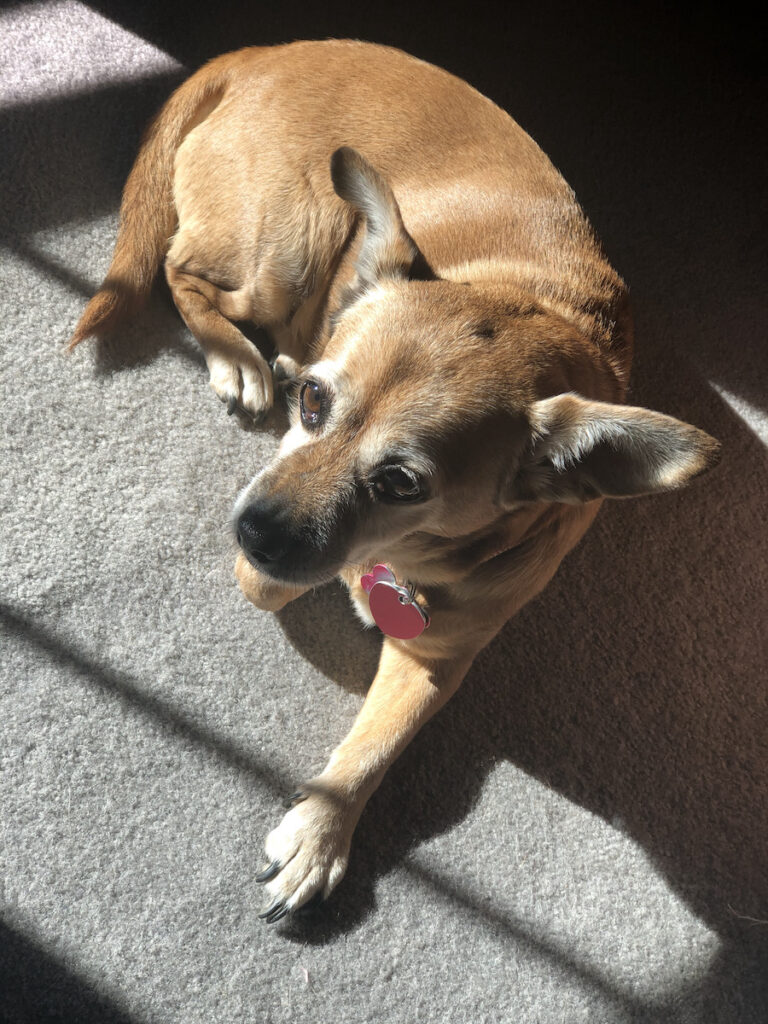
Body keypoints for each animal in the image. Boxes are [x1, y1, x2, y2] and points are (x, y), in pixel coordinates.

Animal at [72, 39, 720, 925]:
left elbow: (380, 742)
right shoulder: (278, 550)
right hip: (285, 250)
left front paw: (321, 831)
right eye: (314, 402)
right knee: (182, 271)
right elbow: (271, 584)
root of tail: (261, 54)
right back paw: (241, 357)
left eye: (404, 484)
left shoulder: (438, 658)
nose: (253, 528)